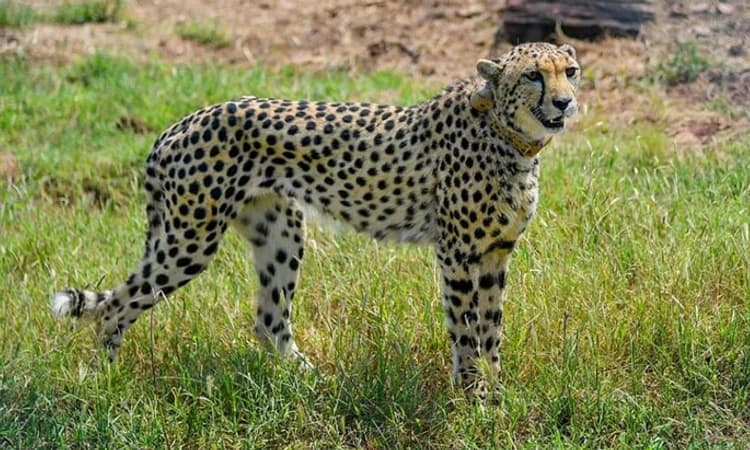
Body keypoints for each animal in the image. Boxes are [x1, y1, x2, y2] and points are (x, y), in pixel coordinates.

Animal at [51, 42, 580, 392]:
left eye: (570, 71)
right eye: (533, 75)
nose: (565, 101)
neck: (510, 138)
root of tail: (180, 123)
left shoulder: (495, 253)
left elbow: (492, 329)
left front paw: (497, 393)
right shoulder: (457, 254)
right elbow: (466, 330)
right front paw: (474, 396)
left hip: (280, 231)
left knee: (269, 320)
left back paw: (311, 381)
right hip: (190, 240)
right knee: (117, 306)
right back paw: (104, 381)